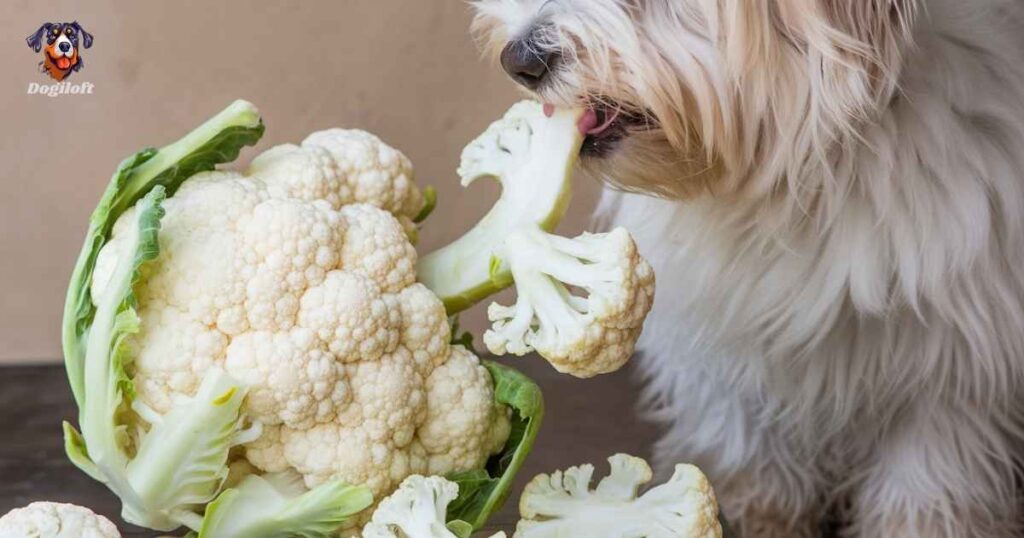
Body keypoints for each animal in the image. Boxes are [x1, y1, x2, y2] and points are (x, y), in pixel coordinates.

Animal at [475, 2, 1024, 532]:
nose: (517, 59)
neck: (804, 181)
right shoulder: (724, 333)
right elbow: (742, 434)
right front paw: (758, 511)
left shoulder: (956, 361)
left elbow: (929, 474)